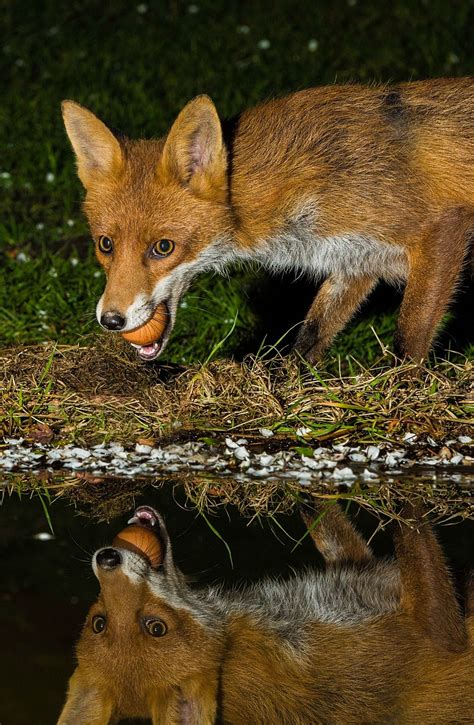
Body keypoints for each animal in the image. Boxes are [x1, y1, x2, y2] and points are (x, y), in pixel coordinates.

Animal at [60, 504, 474, 724]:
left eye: (97, 622)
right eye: (156, 627)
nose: (107, 559)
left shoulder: (362, 571)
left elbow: (329, 525)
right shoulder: (436, 630)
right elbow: (410, 524)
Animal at [63, 80, 474, 362]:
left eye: (163, 247)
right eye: (105, 244)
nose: (110, 320)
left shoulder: (440, 228)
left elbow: (409, 340)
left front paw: (400, 395)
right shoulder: (357, 260)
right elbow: (311, 334)